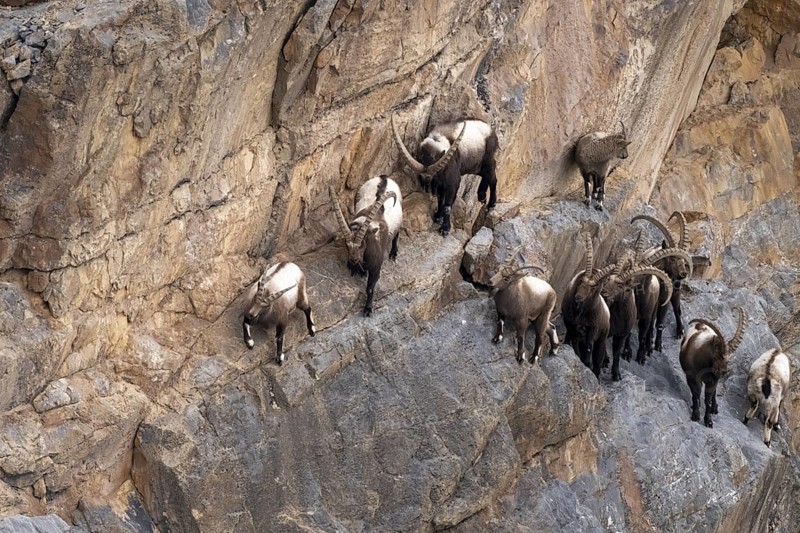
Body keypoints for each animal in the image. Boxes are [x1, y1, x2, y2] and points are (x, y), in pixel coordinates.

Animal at [331, 176, 403, 317]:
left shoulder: (376, 267)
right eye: (347, 245)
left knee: (397, 233)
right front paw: (359, 271)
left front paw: (368, 309)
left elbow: (370, 288)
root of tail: (384, 177)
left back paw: (393, 253)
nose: (353, 260)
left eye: (362, 245)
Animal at [561, 233, 614, 377]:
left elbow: (589, 348)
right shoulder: (569, 322)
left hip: (602, 337)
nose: (578, 296)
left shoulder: (592, 329)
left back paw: (596, 373)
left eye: (593, 288)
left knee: (598, 358)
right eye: (581, 281)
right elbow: (572, 338)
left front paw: (586, 364)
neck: (580, 313)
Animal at [632, 212, 694, 350]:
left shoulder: (664, 300)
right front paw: (651, 340)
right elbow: (653, 321)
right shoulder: (656, 301)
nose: (683, 274)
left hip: (676, 292)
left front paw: (658, 344)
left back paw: (680, 330)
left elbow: (660, 321)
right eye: (672, 258)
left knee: (677, 309)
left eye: (684, 260)